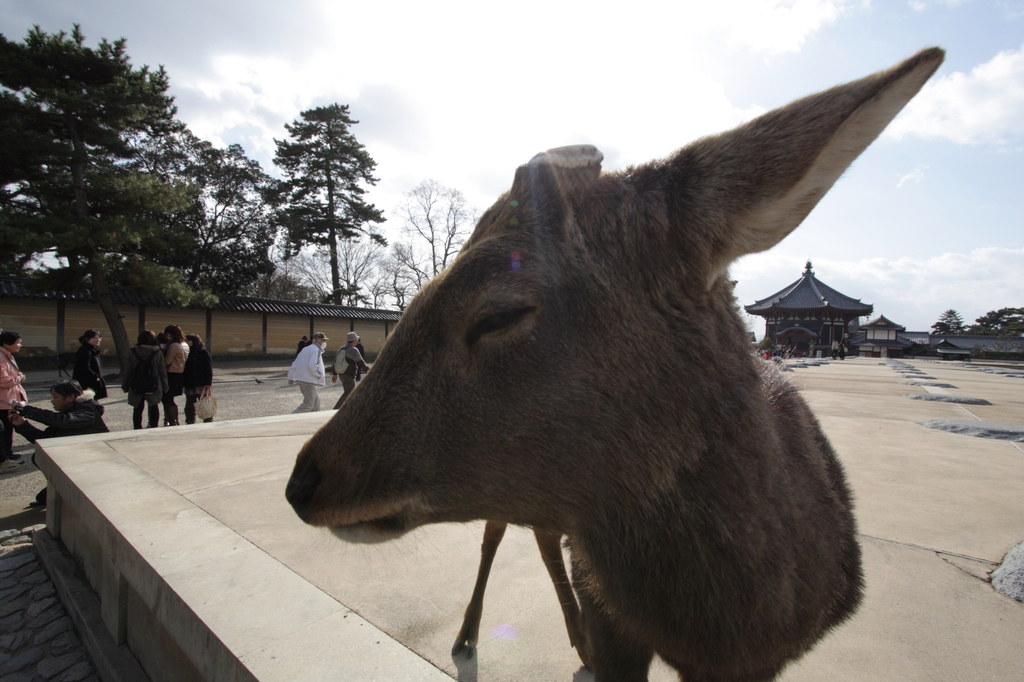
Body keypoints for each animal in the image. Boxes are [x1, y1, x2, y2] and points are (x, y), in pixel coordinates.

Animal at [286, 49, 942, 679]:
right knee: (503, 532)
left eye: (500, 314)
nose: (302, 483)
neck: (728, 629)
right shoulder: (617, 621)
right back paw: (480, 634)